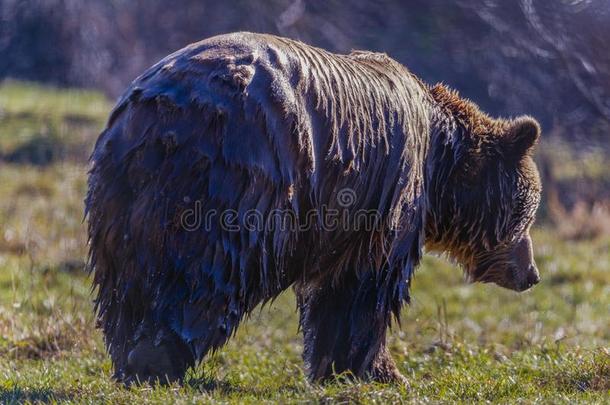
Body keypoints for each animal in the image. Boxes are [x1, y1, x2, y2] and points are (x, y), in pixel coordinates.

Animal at [86, 31, 540, 386]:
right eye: (528, 213)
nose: (531, 273)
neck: (440, 160)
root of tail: (167, 118)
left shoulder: (343, 215)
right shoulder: (387, 198)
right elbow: (365, 287)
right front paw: (381, 370)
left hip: (121, 190)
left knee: (123, 283)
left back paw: (128, 355)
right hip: (243, 177)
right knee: (210, 268)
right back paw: (159, 360)